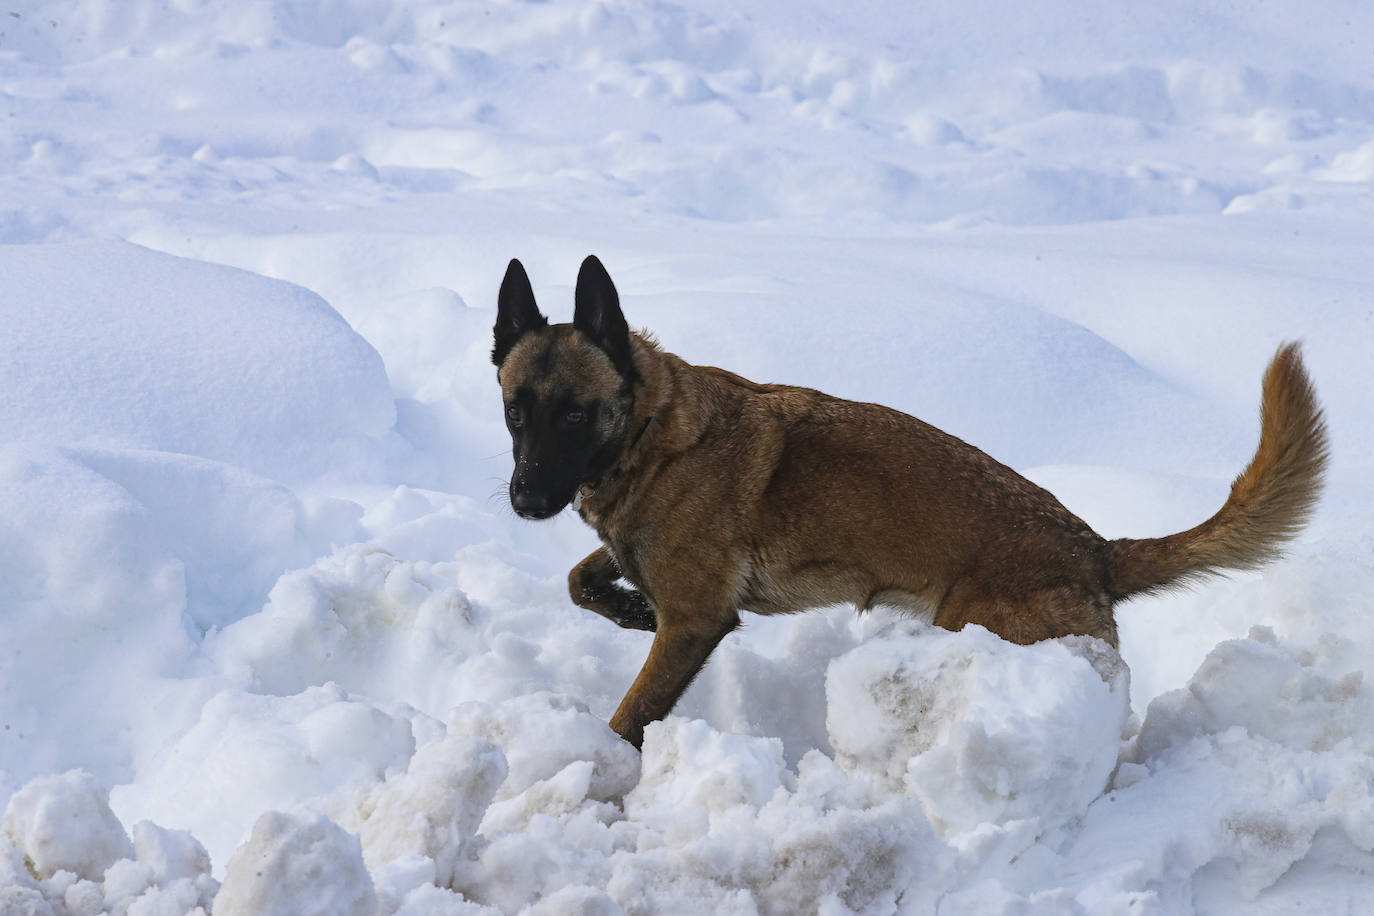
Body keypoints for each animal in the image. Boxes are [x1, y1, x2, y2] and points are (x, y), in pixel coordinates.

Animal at [491, 254, 1319, 747]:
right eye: (515, 410)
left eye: (575, 414)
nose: (526, 498)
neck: (655, 429)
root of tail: (1093, 549)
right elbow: (581, 577)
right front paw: (629, 607)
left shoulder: (697, 619)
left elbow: (630, 713)